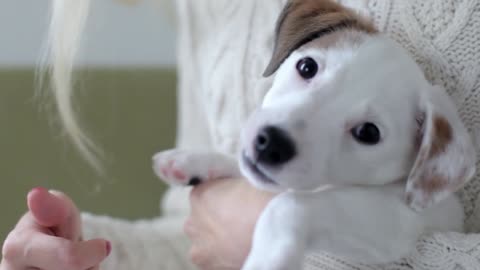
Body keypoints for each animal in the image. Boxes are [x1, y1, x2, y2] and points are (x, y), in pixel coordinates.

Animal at [152, 0, 474, 268]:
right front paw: (192, 160)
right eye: (307, 66)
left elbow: (290, 205)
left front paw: (269, 258)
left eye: (368, 133)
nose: (270, 144)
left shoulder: (393, 219)